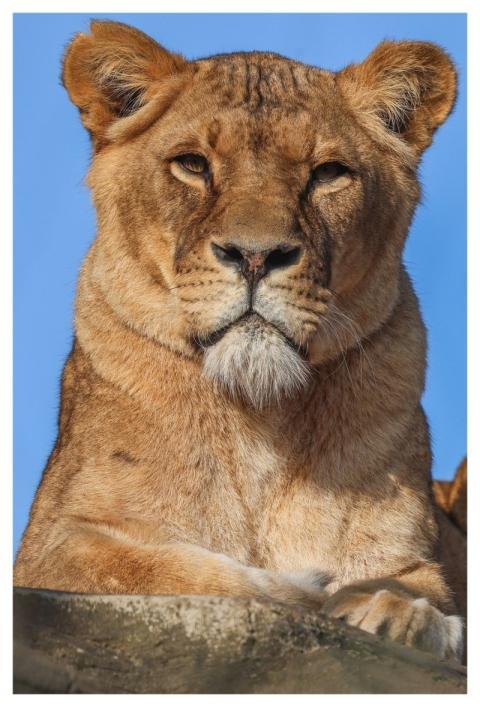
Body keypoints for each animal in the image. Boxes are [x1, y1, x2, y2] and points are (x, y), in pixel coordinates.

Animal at [14, 20, 463, 662]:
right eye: (192, 165)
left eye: (328, 173)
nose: (255, 255)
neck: (261, 414)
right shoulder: (52, 544)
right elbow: (162, 570)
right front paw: (311, 591)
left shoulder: (410, 557)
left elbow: (416, 585)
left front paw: (399, 609)